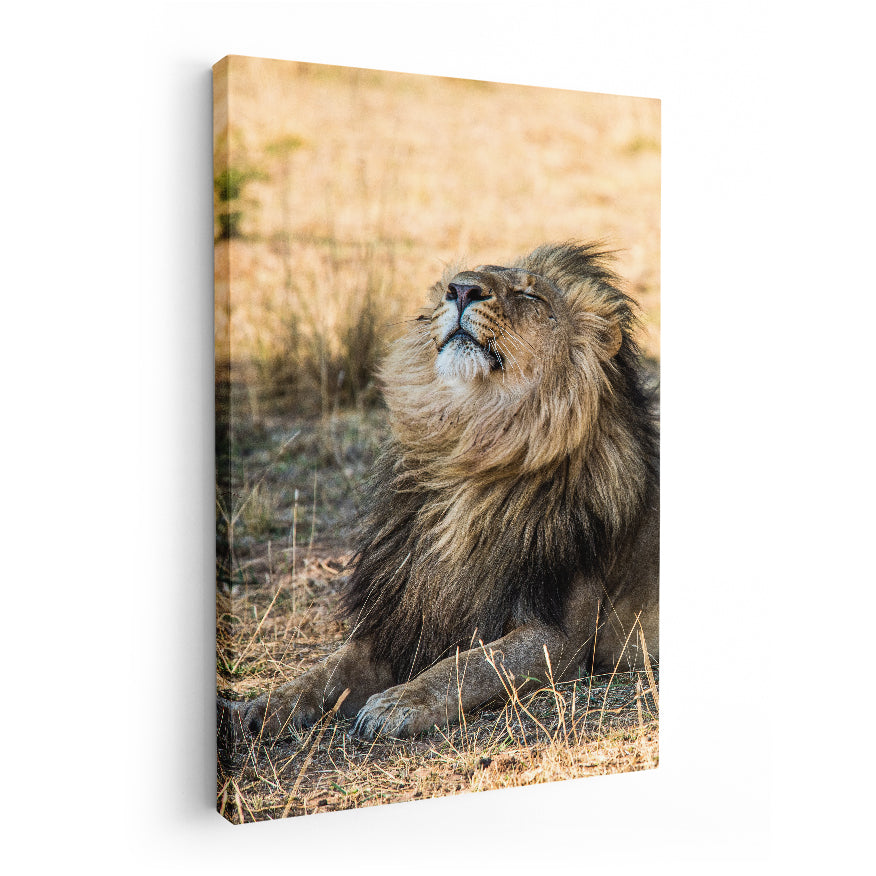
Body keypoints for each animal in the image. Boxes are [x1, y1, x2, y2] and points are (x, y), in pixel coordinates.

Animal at [221, 242, 659, 743]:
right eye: (456, 281)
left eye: (531, 296)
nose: (463, 290)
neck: (471, 452)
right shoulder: (401, 617)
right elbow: (324, 671)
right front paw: (258, 707)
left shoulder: (561, 637)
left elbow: (468, 666)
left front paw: (398, 703)